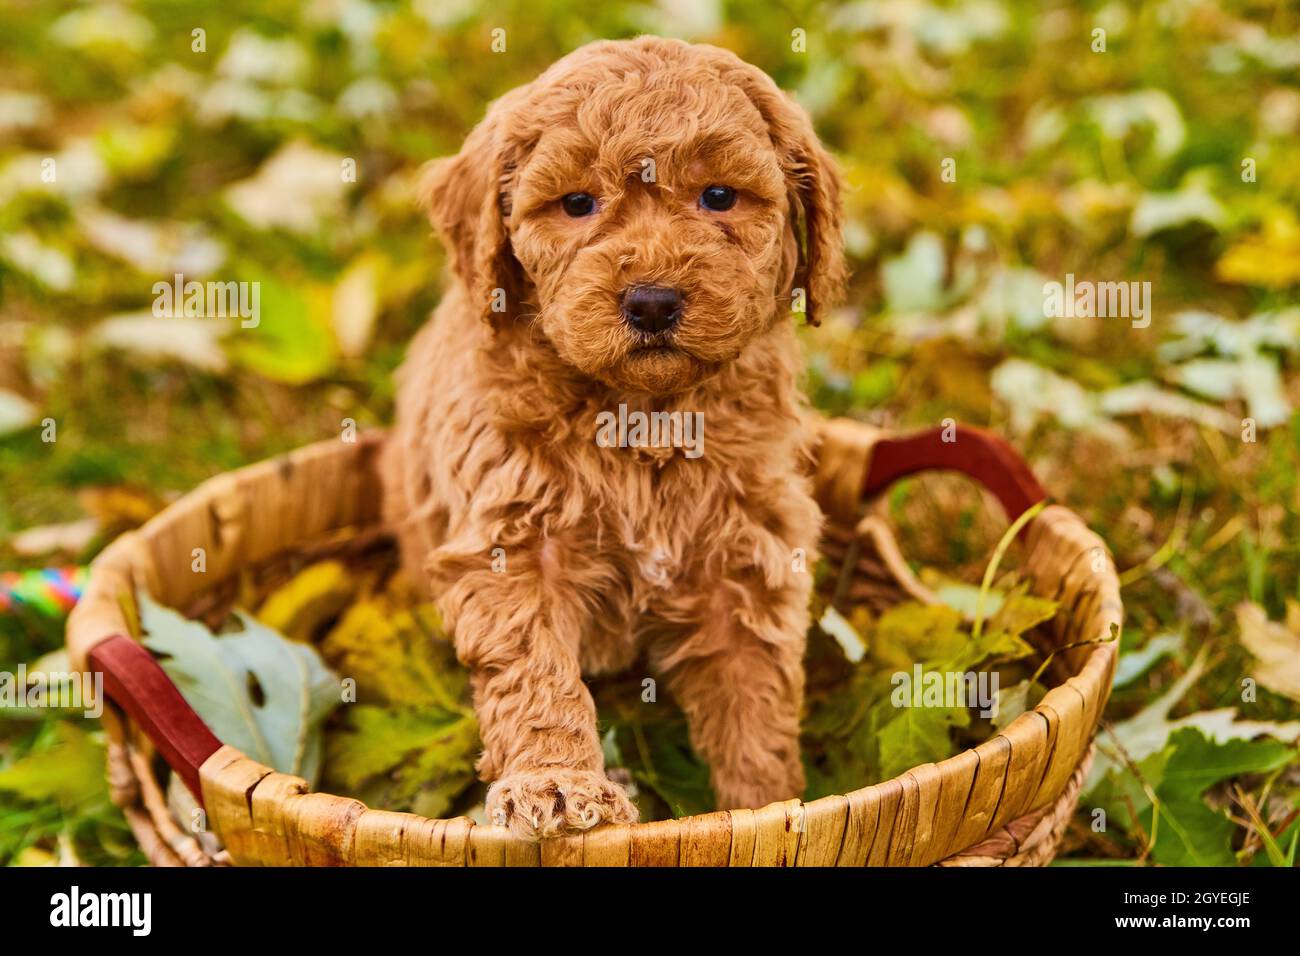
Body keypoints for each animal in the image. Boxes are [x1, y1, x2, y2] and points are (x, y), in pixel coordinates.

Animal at [379, 35, 847, 837]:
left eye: (718, 196)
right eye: (576, 204)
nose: (652, 301)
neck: (641, 415)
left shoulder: (744, 559)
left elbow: (754, 702)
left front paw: (767, 805)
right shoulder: (511, 543)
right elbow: (536, 672)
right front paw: (556, 782)